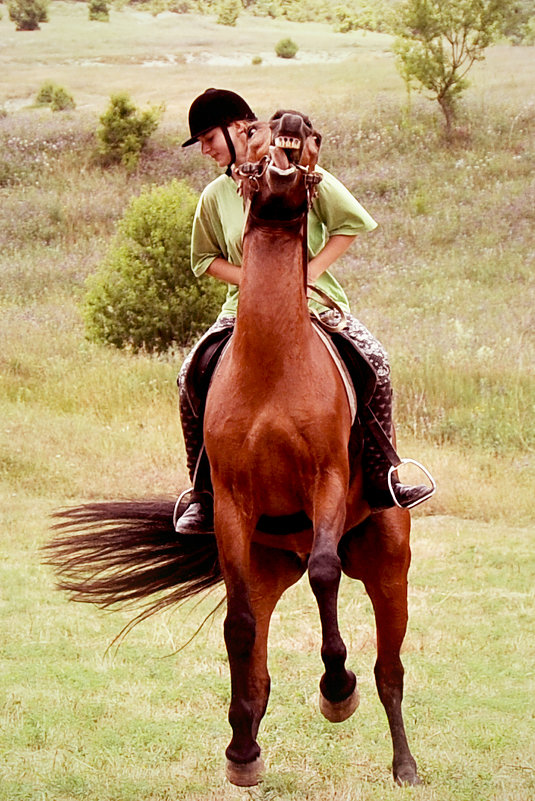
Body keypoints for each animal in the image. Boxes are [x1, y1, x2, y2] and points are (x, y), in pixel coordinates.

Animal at [46, 111, 422, 788]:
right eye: (263, 128)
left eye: (313, 136)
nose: (293, 122)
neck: (272, 364)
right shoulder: (231, 508)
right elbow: (238, 628)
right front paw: (243, 752)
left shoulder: (326, 482)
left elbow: (325, 575)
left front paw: (336, 689)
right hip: (267, 566)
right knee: (259, 660)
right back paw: (245, 741)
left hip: (387, 567)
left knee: (389, 669)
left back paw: (403, 764)